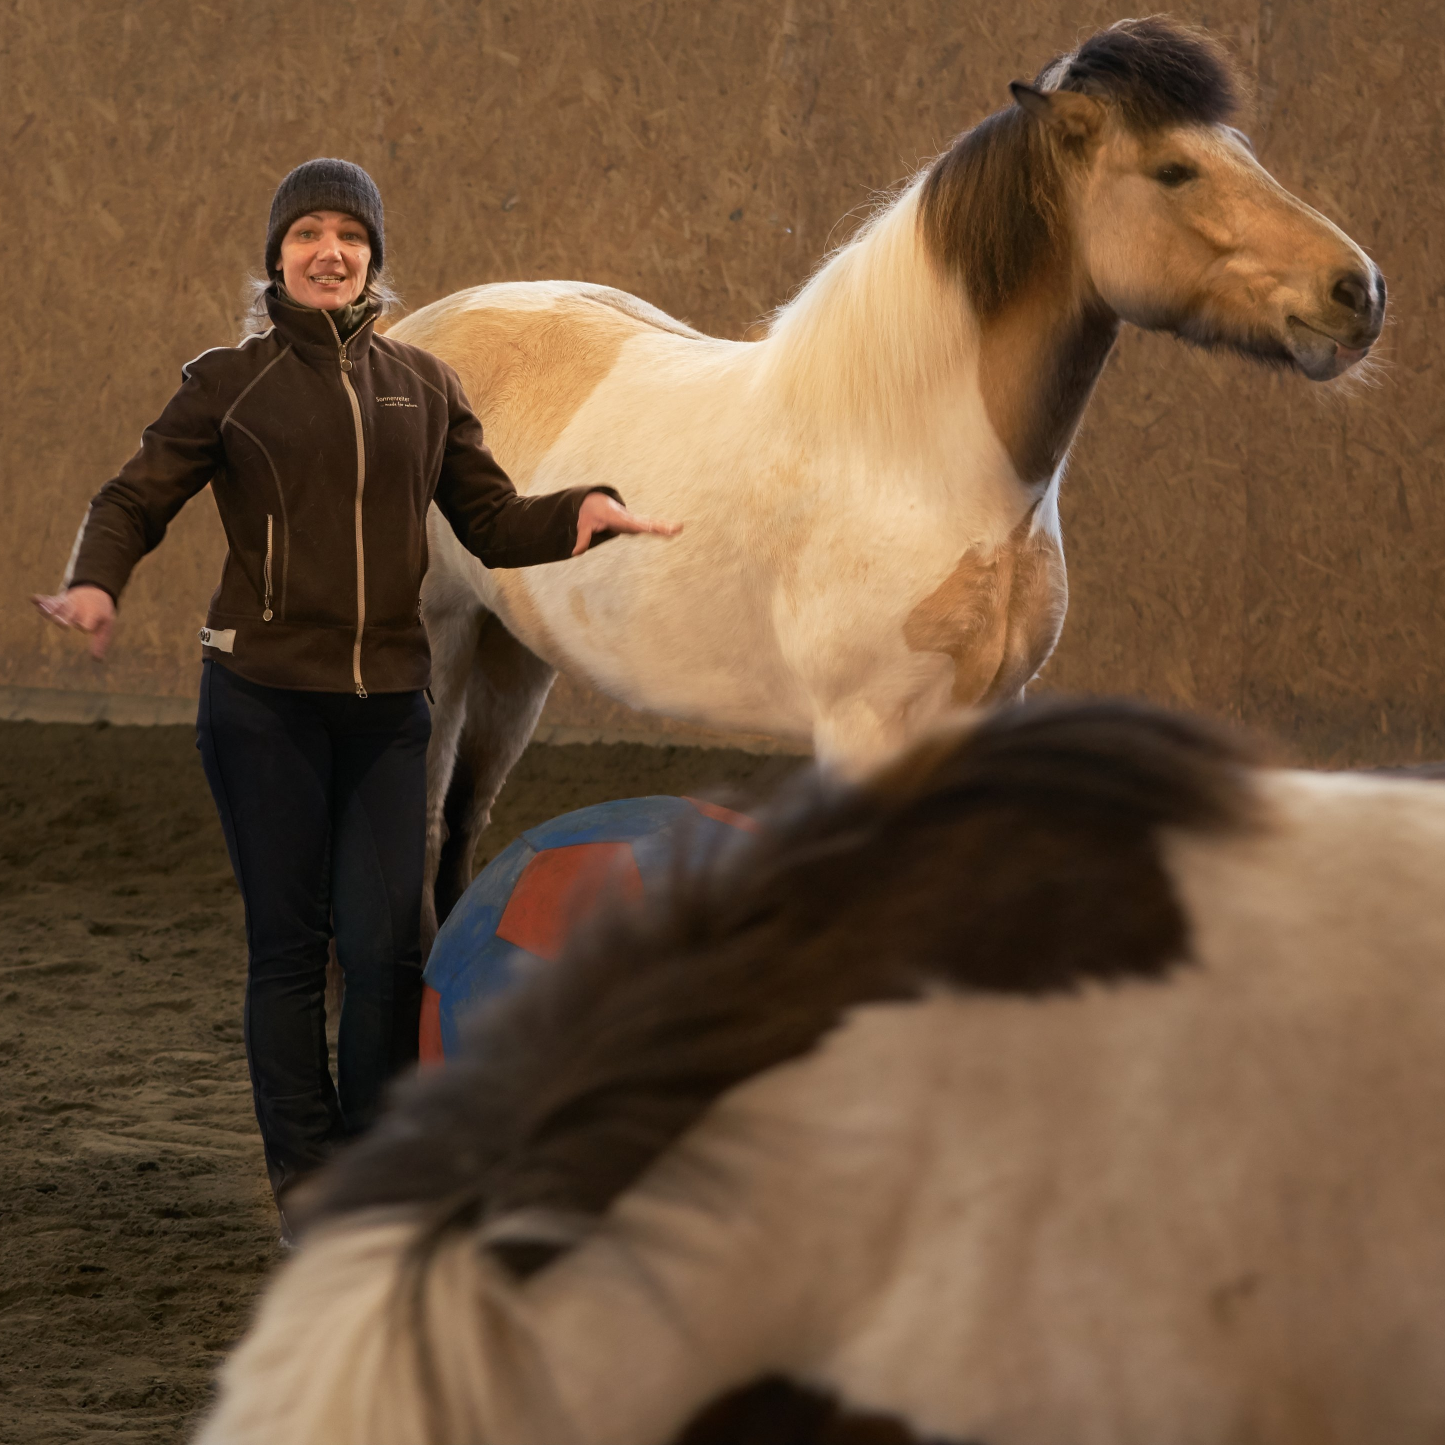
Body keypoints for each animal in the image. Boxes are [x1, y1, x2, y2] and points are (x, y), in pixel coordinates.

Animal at [401, 17, 1386, 945]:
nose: (1359, 292)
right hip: (442, 652)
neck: (914, 466)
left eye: (1242, 151)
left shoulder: (984, 711)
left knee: (462, 827)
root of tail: (406, 337)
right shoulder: (865, 731)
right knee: (424, 829)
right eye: (1174, 170)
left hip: (513, 655)